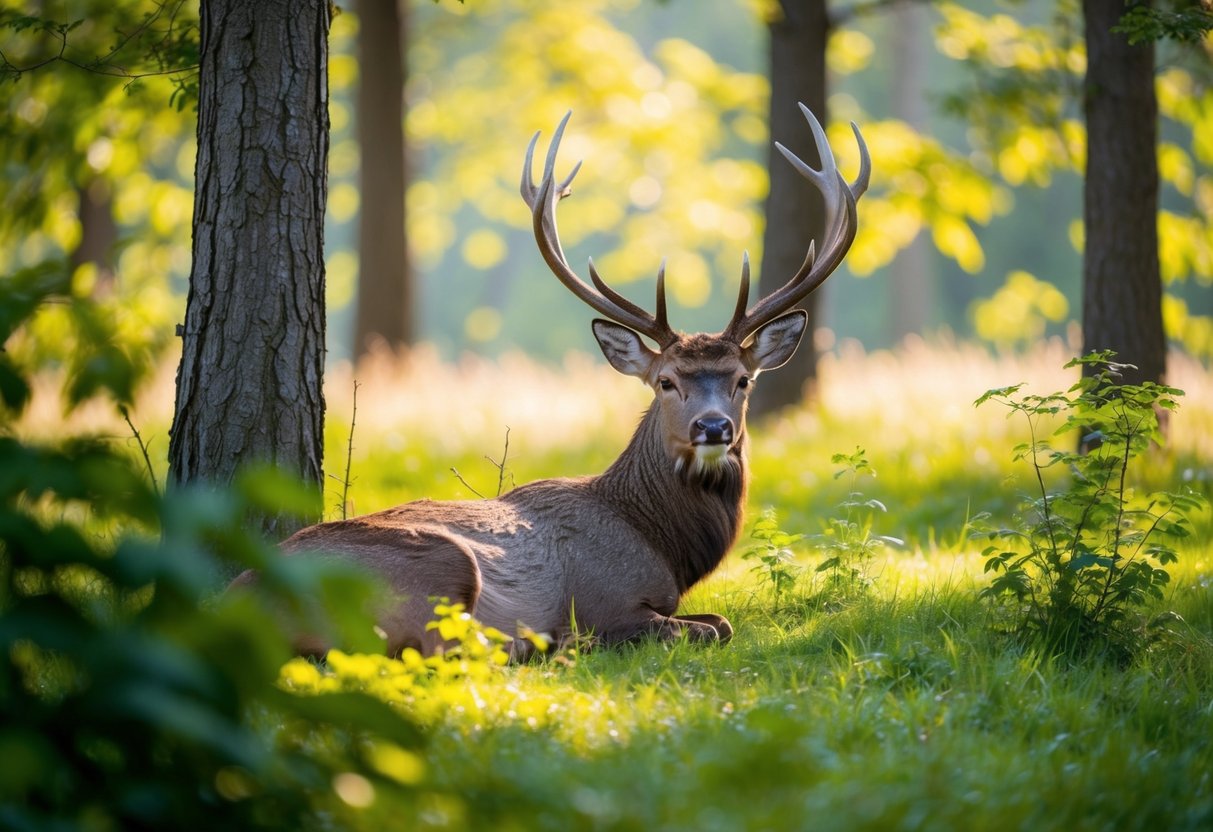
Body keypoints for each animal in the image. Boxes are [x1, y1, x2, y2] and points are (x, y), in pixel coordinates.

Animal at [231, 104, 870, 660]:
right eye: (665, 382)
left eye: (742, 381)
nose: (712, 427)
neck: (657, 540)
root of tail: (236, 600)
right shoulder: (608, 599)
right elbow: (711, 627)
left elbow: (720, 621)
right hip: (438, 564)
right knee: (438, 649)